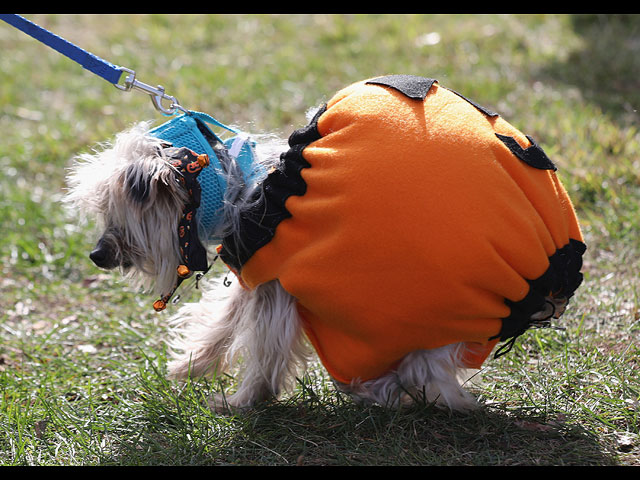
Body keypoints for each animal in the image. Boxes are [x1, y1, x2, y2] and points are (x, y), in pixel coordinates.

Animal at [66, 75, 584, 412]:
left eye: (117, 217)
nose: (96, 255)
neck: (238, 185)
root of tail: (543, 288)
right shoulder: (258, 275)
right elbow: (225, 318)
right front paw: (193, 367)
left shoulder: (268, 276)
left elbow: (258, 345)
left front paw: (237, 398)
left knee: (419, 378)